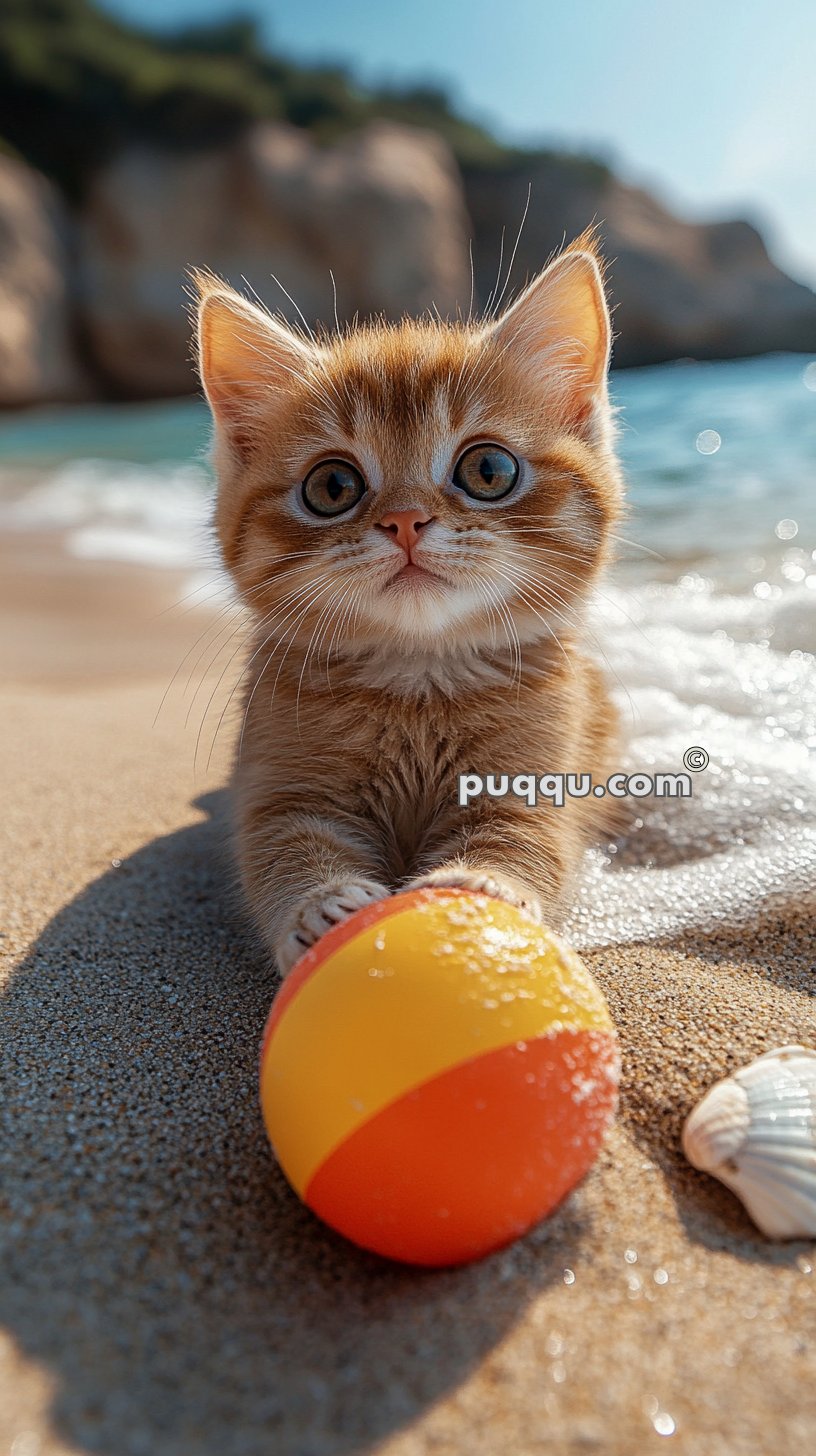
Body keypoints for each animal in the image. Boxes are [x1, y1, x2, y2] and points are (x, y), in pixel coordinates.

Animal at [193, 238, 620, 978]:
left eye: (488, 471)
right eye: (332, 486)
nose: (406, 520)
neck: (419, 679)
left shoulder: (535, 796)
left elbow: (525, 845)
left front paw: (483, 887)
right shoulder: (282, 794)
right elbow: (284, 851)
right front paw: (322, 908)